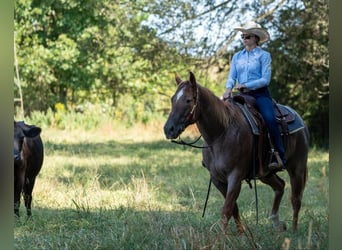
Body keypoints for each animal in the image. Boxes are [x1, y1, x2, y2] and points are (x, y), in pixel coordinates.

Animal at [163, 71, 310, 232]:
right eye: (172, 99)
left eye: (188, 100)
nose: (168, 129)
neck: (221, 133)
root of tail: (300, 120)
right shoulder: (217, 179)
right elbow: (233, 208)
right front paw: (241, 233)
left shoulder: (235, 176)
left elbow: (227, 209)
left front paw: (221, 237)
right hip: (265, 173)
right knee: (280, 185)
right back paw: (276, 221)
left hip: (297, 168)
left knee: (296, 199)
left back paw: (294, 230)